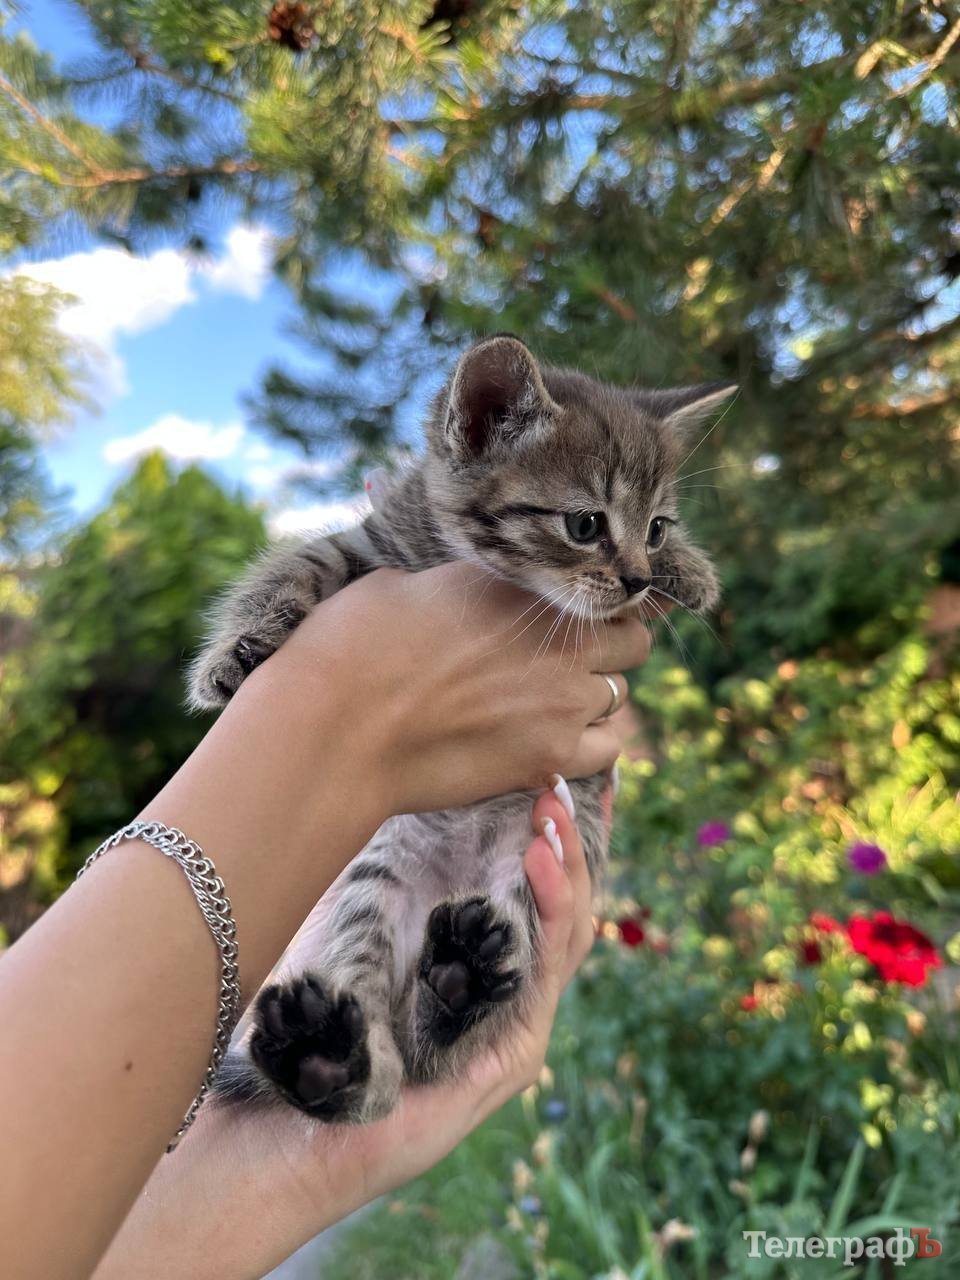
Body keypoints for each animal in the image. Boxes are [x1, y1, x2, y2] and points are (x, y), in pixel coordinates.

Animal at [191, 334, 732, 1123]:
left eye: (656, 526)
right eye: (584, 524)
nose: (636, 576)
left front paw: (688, 570)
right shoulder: (372, 543)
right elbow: (300, 562)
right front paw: (233, 654)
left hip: (526, 891)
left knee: (437, 1046)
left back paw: (454, 988)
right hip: (371, 882)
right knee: (390, 1071)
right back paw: (332, 1059)